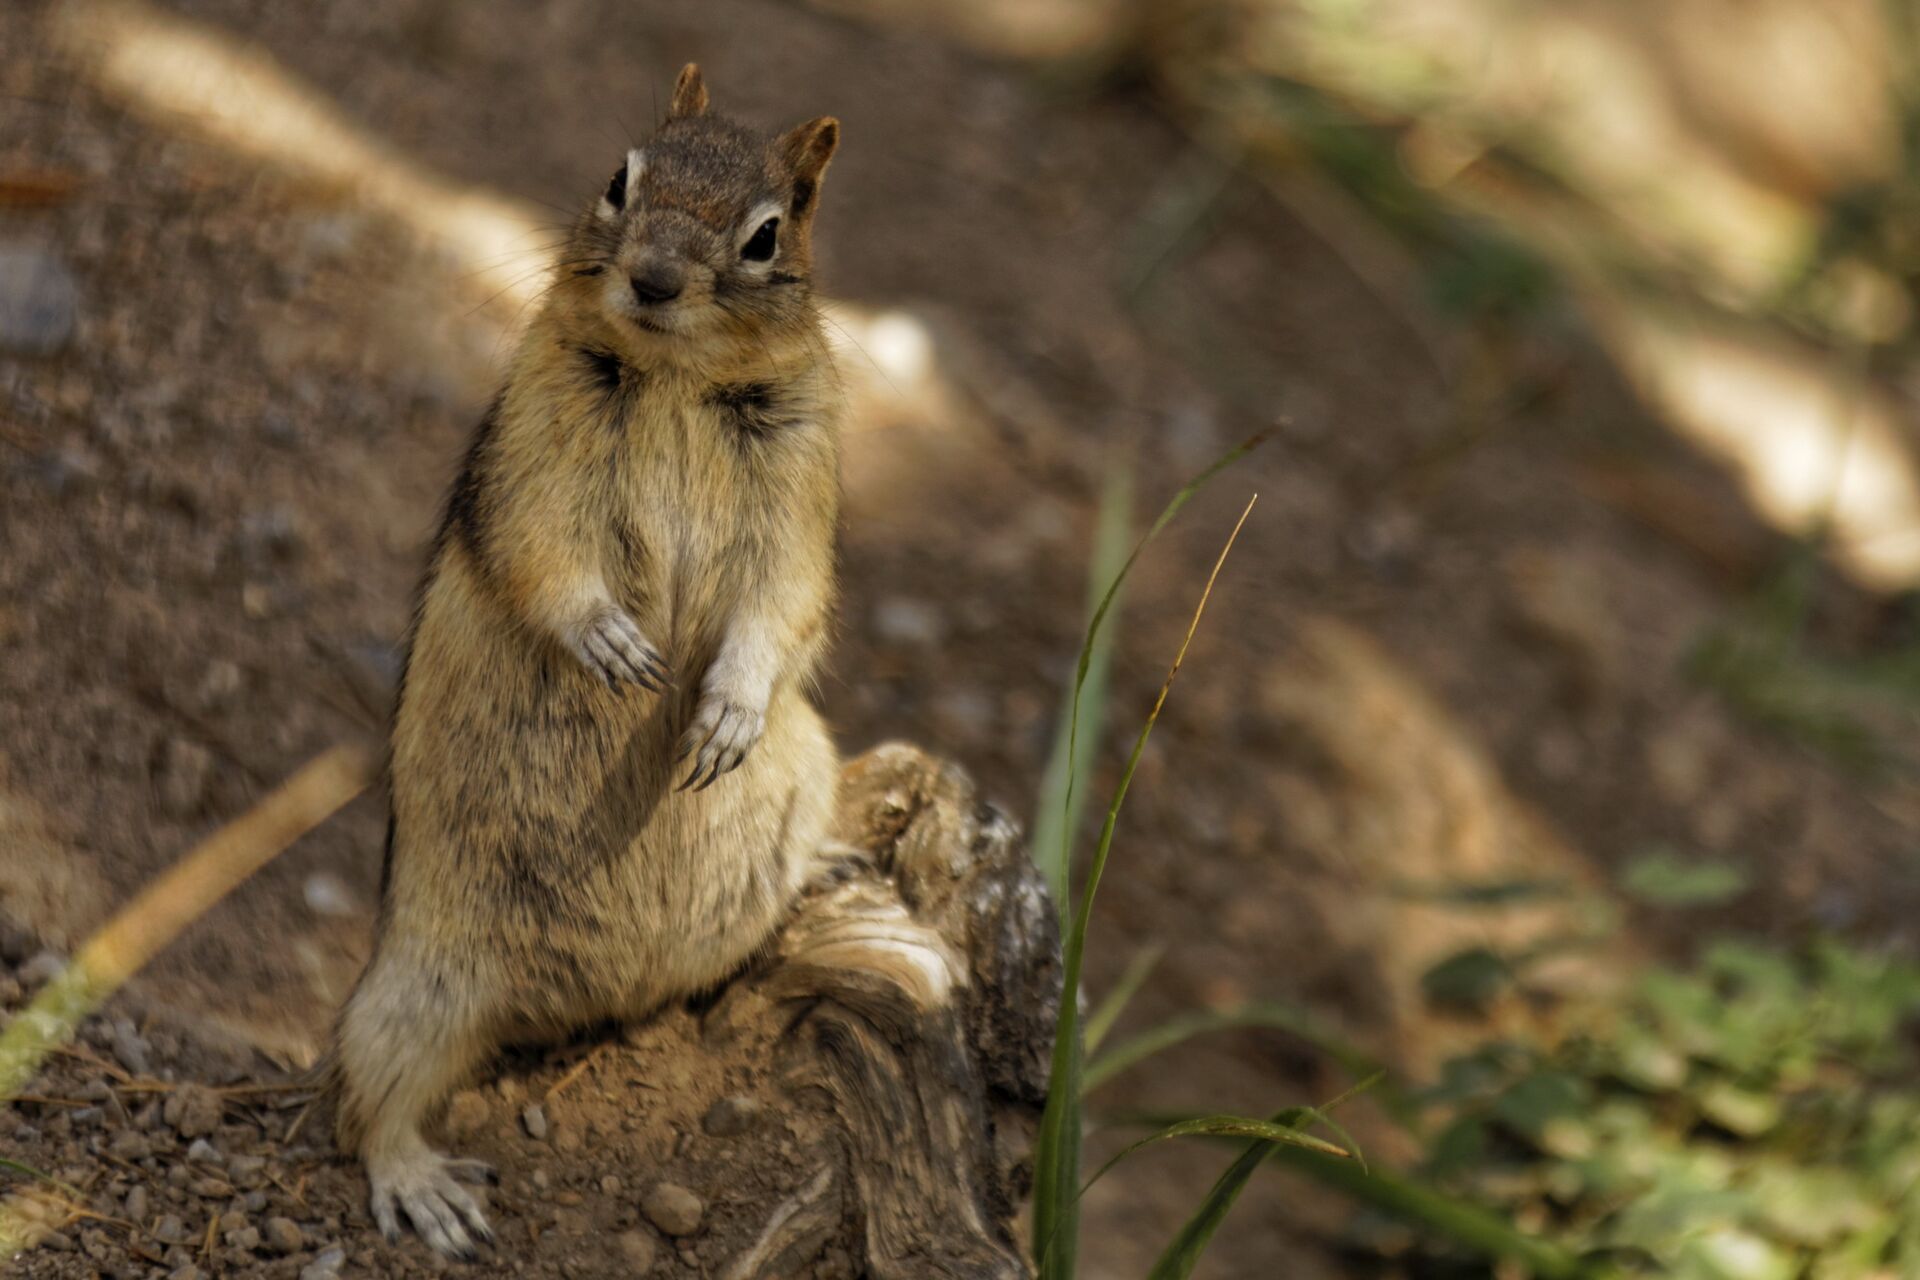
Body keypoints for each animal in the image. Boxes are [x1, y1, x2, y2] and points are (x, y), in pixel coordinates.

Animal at [327, 64, 844, 1258]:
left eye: (767, 234)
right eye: (619, 178)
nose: (653, 277)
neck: (678, 377)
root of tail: (590, 1004)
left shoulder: (804, 476)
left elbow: (783, 603)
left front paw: (727, 711)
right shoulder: (532, 441)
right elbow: (542, 553)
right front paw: (609, 643)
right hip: (420, 980)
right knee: (367, 1096)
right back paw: (423, 1184)